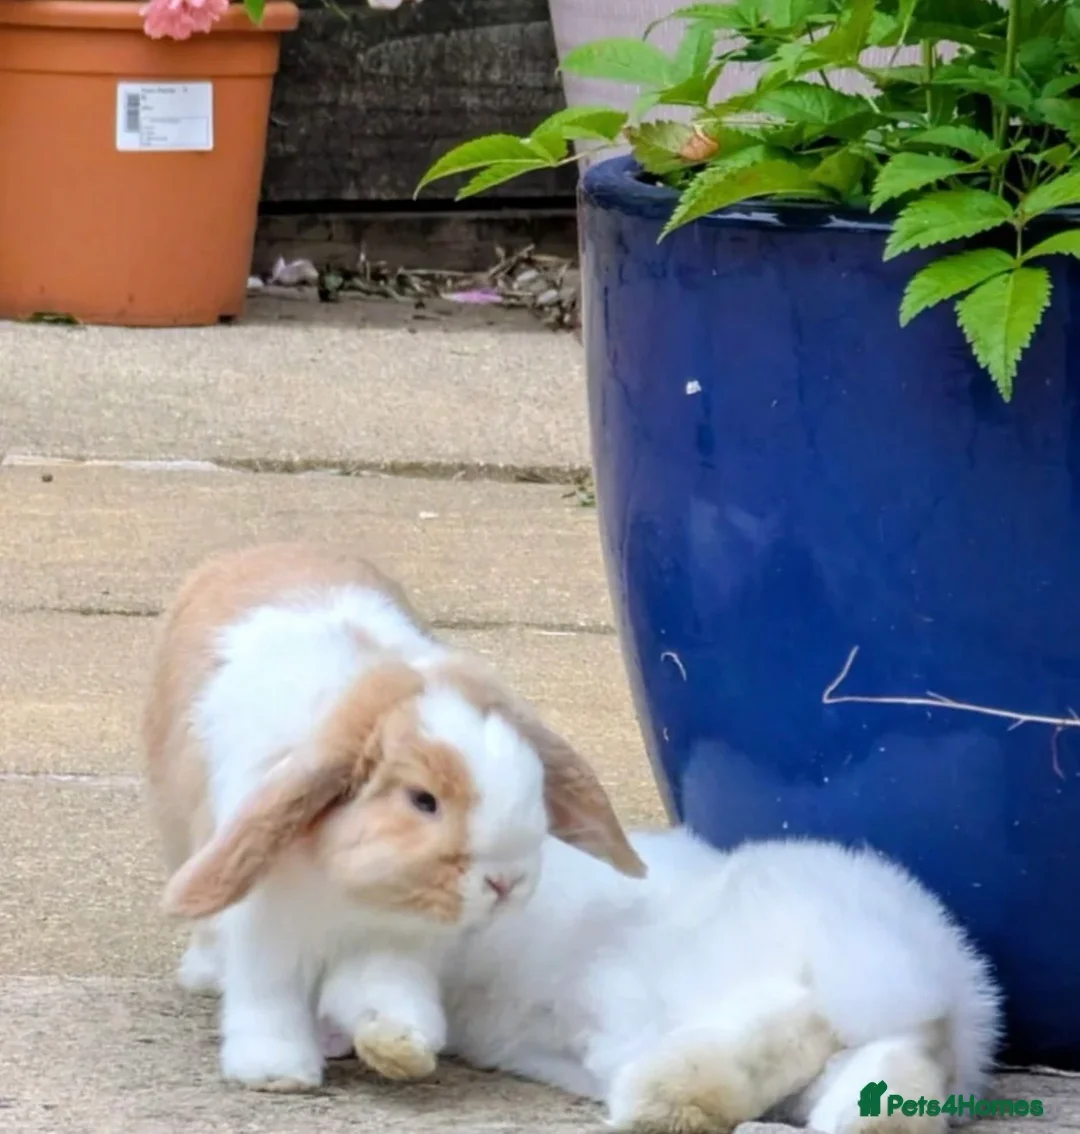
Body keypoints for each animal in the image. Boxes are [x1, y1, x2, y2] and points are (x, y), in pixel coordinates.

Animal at [142, 541, 645, 1093]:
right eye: (423, 800)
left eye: (535, 778)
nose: (505, 883)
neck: (349, 889)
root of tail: (261, 550)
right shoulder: (266, 929)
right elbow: (269, 998)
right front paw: (277, 1072)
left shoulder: (396, 942)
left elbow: (385, 993)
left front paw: (401, 1047)